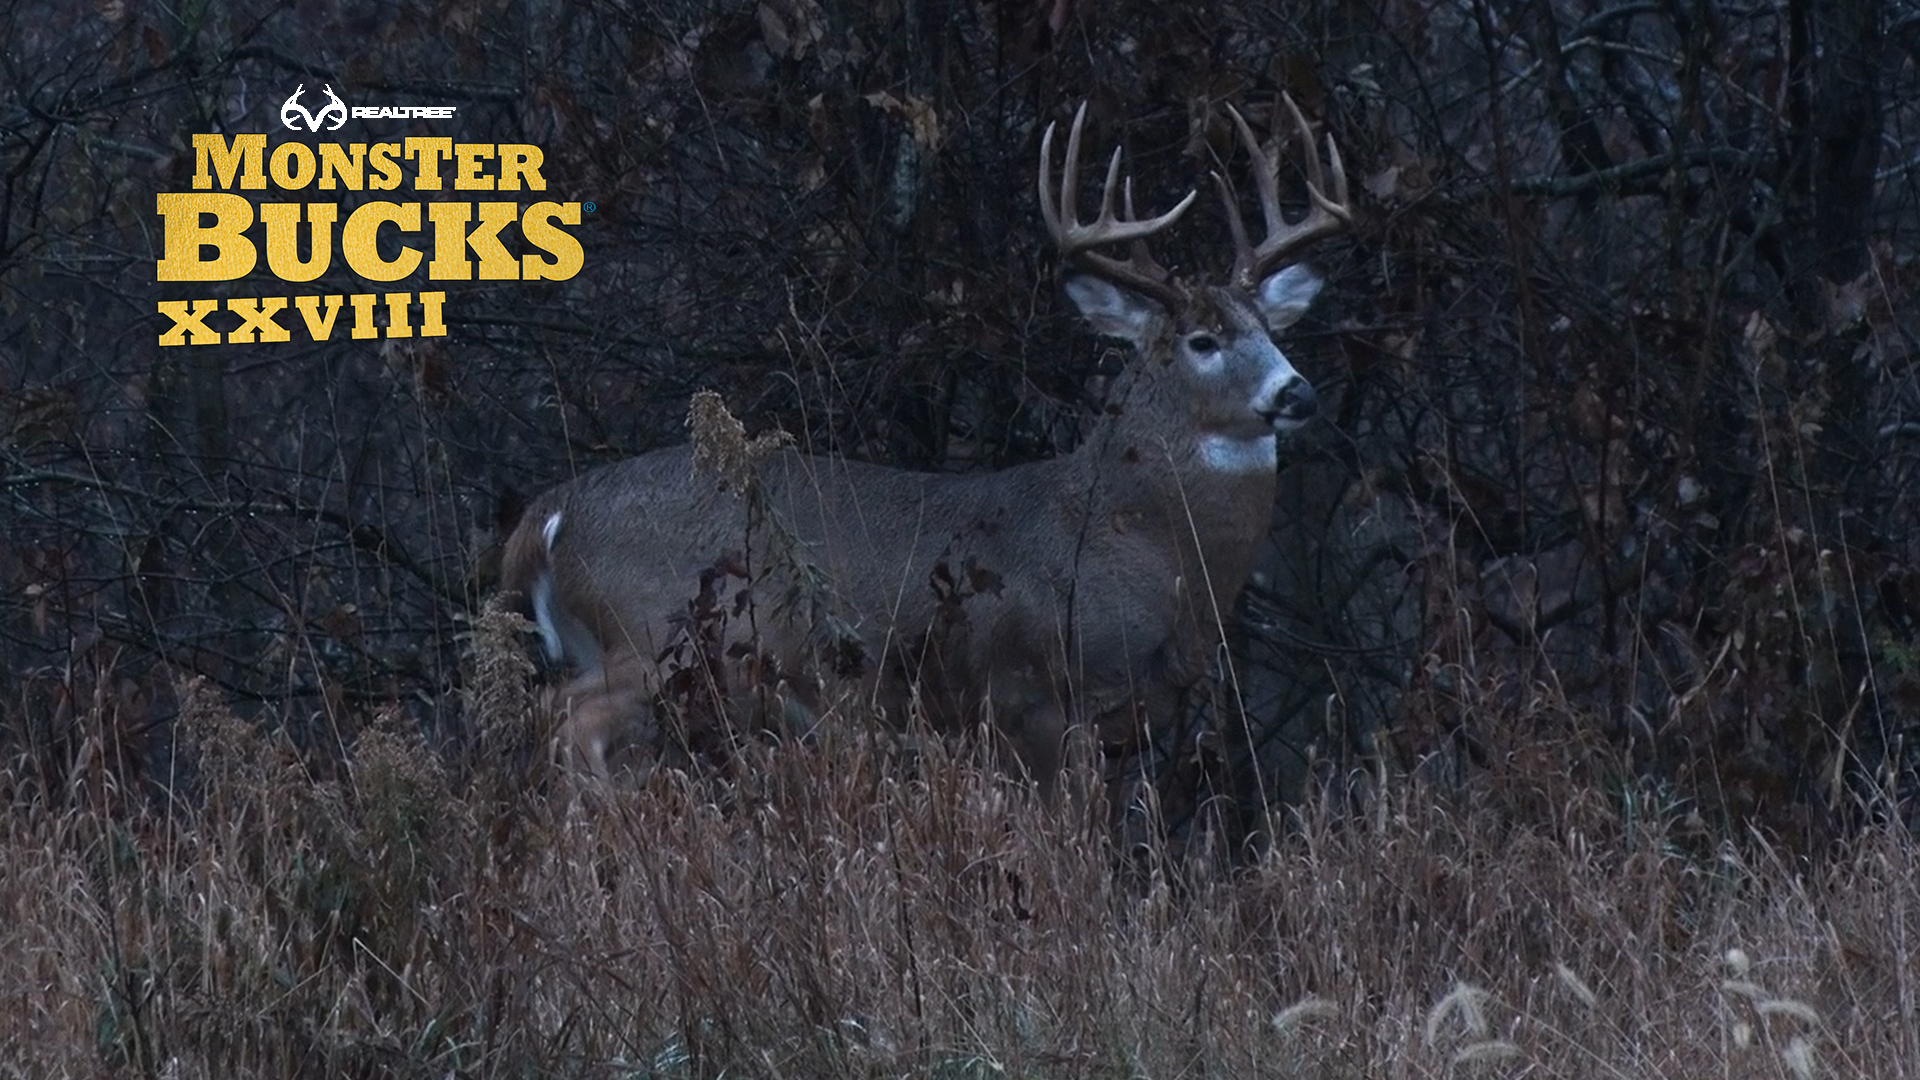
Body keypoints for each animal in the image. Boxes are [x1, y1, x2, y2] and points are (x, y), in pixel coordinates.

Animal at [500, 97, 1351, 787]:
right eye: (1204, 341)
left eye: (1271, 329)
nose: (1298, 393)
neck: (1140, 540)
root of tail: (545, 519)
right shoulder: (1027, 694)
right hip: (656, 631)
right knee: (566, 722)